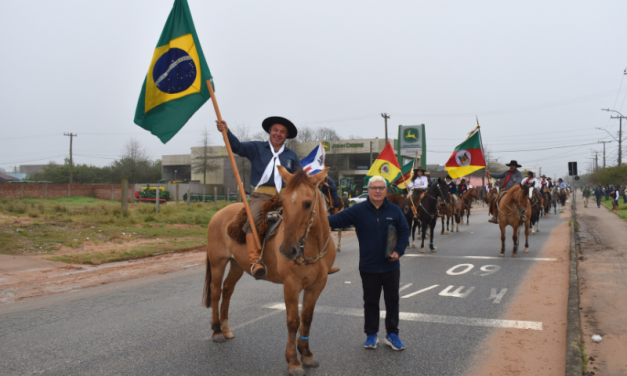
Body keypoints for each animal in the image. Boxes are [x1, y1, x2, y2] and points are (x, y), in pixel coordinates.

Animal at [204, 167, 336, 376]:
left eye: (308, 203)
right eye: (284, 202)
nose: (288, 250)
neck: (312, 244)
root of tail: (219, 214)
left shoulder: (317, 284)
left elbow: (307, 318)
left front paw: (307, 354)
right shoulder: (291, 285)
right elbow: (293, 321)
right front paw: (293, 361)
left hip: (237, 265)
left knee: (227, 290)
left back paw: (225, 328)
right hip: (218, 263)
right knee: (216, 292)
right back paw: (217, 331)